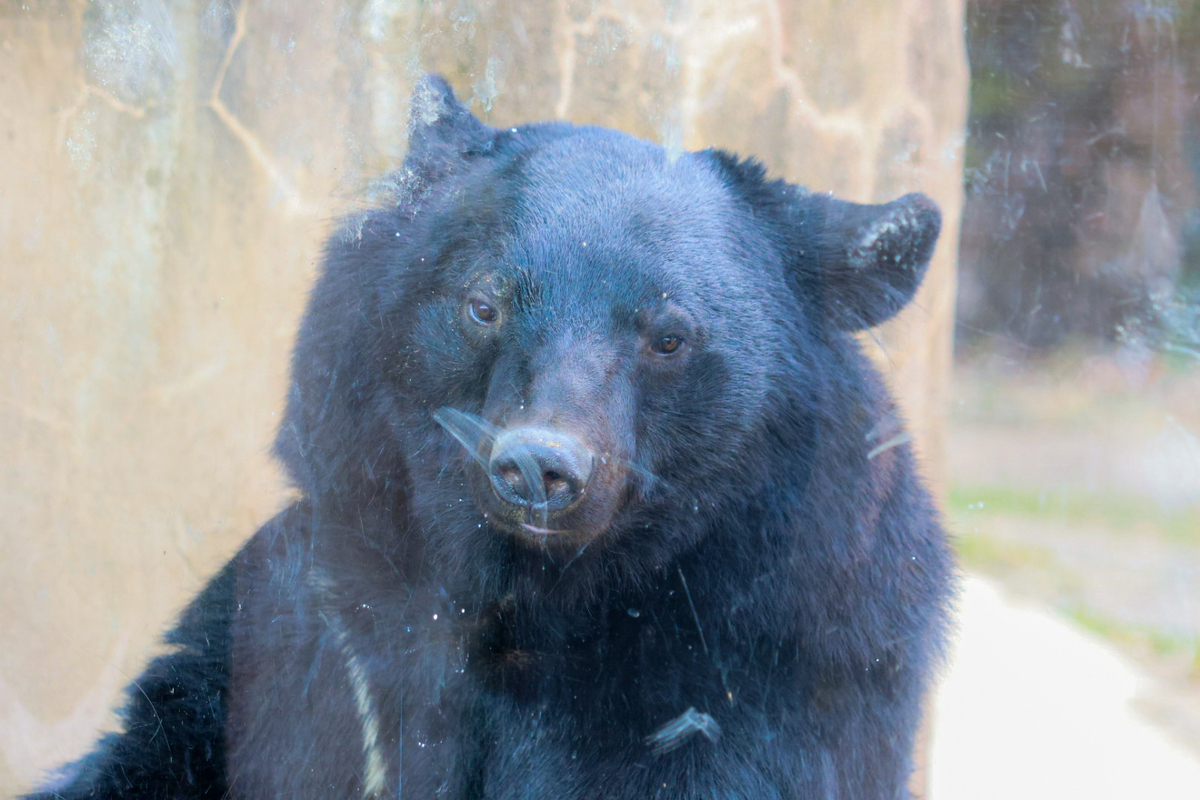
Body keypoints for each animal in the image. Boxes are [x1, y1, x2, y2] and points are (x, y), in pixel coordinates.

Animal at [26, 74, 953, 800]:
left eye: (669, 337)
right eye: (484, 303)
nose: (538, 467)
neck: (535, 604)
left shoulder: (758, 674)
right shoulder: (310, 626)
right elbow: (163, 738)